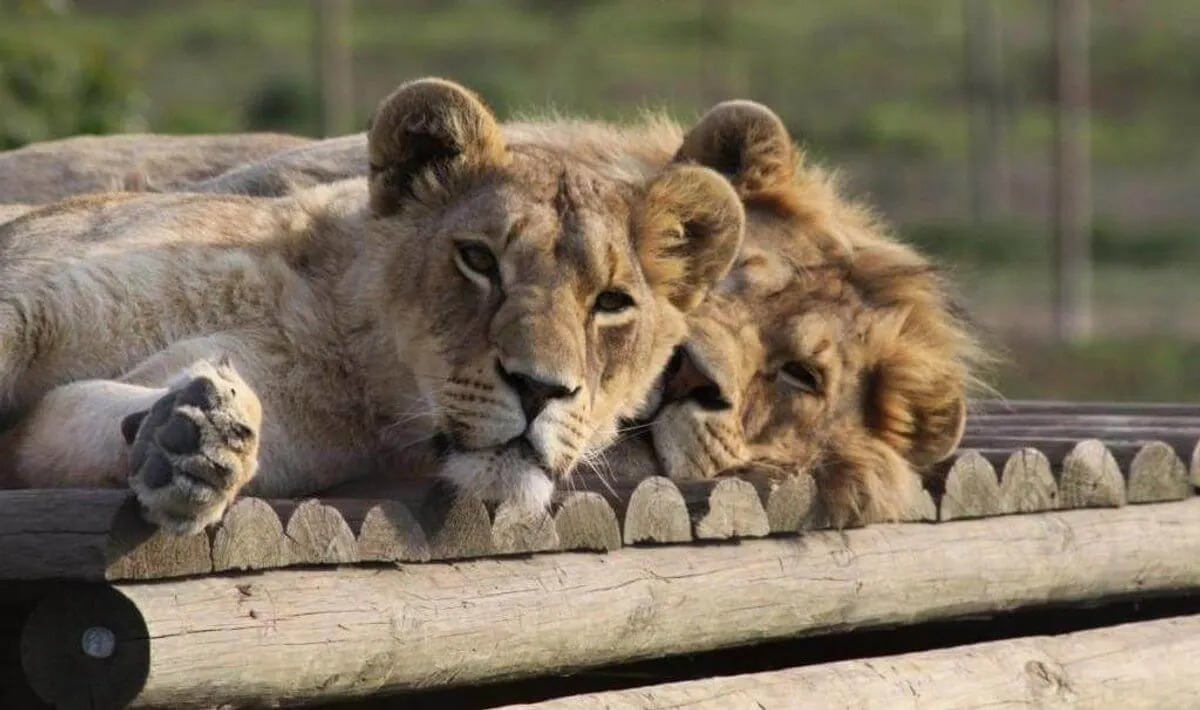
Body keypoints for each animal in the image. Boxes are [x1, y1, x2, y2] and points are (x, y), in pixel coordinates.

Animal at [0, 77, 745, 536]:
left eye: (612, 302)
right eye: (478, 260)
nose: (540, 389)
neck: (328, 334)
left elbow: (67, 422)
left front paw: (193, 444)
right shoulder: (34, 296)